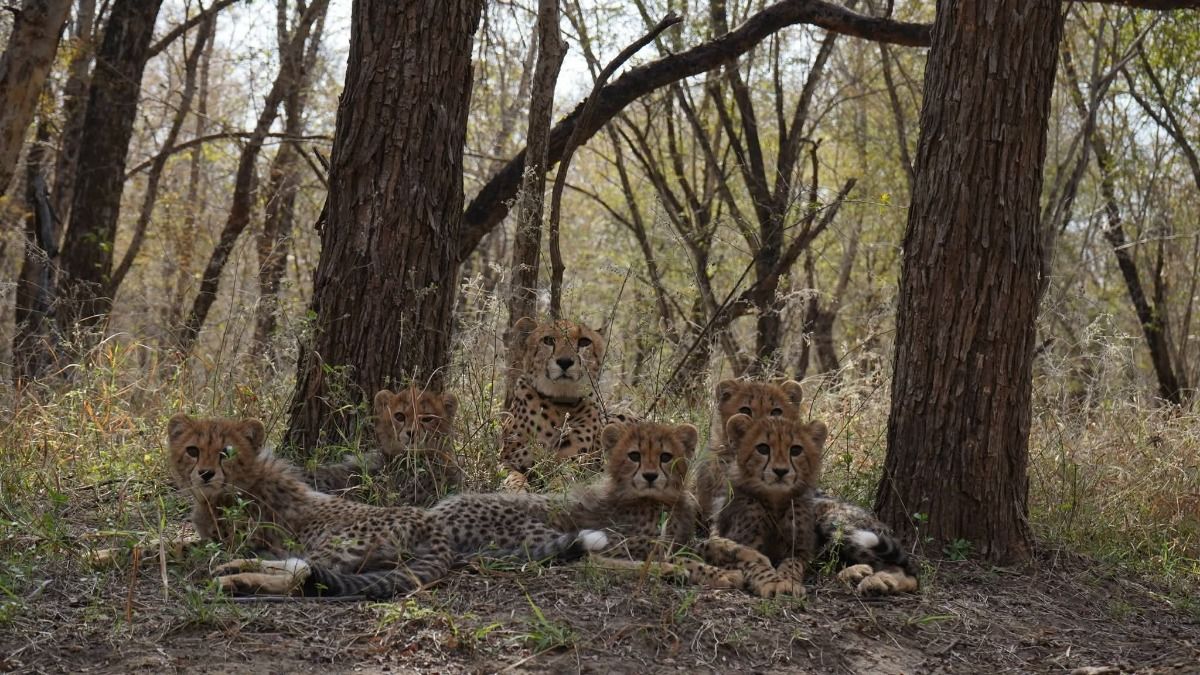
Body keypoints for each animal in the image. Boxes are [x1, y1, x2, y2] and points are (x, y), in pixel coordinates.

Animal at [499, 317, 635, 491]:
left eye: (584, 342)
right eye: (548, 340)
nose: (564, 361)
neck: (559, 403)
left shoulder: (572, 466)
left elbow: (561, 481)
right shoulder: (507, 460)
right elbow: (513, 476)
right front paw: (518, 490)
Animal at [702, 413, 826, 598]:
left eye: (796, 450)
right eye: (763, 448)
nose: (781, 471)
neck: (775, 500)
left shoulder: (801, 550)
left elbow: (792, 563)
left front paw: (787, 582)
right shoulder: (742, 545)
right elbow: (754, 561)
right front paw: (772, 581)